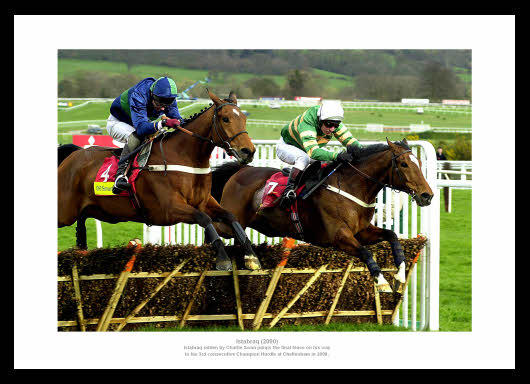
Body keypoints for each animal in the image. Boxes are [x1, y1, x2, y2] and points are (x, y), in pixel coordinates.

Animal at [58, 89, 260, 270]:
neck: (184, 156)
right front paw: (223, 258)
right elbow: (204, 219)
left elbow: (230, 217)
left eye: (244, 118)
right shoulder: (169, 209)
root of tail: (73, 155)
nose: (248, 151)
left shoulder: (204, 202)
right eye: (225, 119)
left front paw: (251, 255)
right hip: (65, 212)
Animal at [210, 138, 434, 292]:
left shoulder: (362, 231)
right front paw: (381, 282)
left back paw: (249, 257)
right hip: (230, 221)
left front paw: (400, 275)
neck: (351, 186)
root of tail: (239, 171)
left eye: (419, 162)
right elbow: (366, 253)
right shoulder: (339, 237)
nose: (427, 195)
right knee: (217, 222)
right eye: (404, 164)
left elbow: (393, 236)